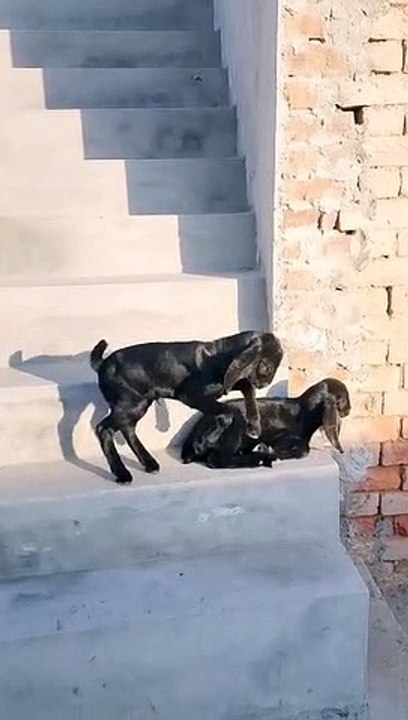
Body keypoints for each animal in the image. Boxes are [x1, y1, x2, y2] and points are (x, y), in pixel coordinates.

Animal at [90, 331, 283, 482]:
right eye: (266, 366)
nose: (265, 383)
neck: (218, 355)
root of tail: (102, 364)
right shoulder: (191, 395)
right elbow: (230, 410)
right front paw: (211, 437)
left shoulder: (225, 385)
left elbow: (247, 387)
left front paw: (254, 426)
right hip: (130, 404)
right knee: (103, 428)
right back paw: (122, 473)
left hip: (138, 404)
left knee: (127, 428)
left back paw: (149, 463)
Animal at [181, 378, 351, 469]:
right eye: (345, 399)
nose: (349, 409)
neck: (302, 413)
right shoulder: (279, 437)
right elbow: (304, 449)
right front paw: (274, 451)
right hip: (235, 421)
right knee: (217, 459)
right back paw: (258, 458)